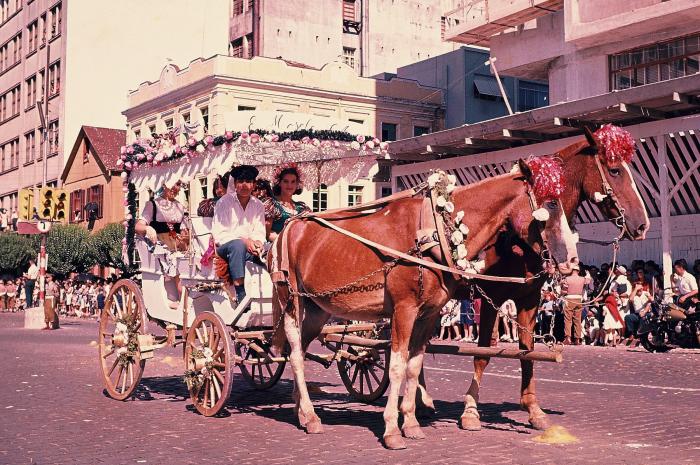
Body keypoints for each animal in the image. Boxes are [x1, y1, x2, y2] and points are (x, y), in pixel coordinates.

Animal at [270, 158, 576, 448]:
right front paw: (392, 429)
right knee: (294, 352)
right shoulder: (404, 310)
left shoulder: (429, 315)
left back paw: (301, 410)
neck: (435, 230)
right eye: (551, 203)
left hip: (317, 309)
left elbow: (414, 365)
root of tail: (291, 225)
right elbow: (396, 365)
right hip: (291, 300)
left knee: (300, 348)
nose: (572, 260)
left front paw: (411, 423)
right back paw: (311, 415)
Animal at [448, 132, 652, 430]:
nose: (642, 224)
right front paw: (471, 411)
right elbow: (484, 353)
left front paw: (533, 409)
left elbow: (527, 351)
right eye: (615, 170)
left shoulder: (529, 299)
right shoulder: (491, 298)